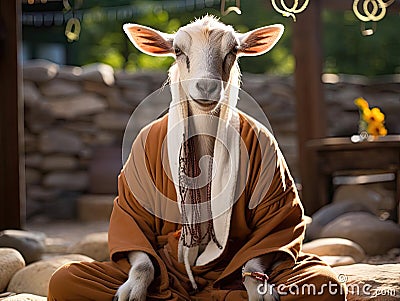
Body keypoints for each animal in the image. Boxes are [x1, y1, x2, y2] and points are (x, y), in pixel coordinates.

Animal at [115, 14, 284, 300]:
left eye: (233, 50)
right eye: (178, 50)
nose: (206, 87)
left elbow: (265, 242)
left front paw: (261, 290)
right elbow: (136, 236)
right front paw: (132, 291)